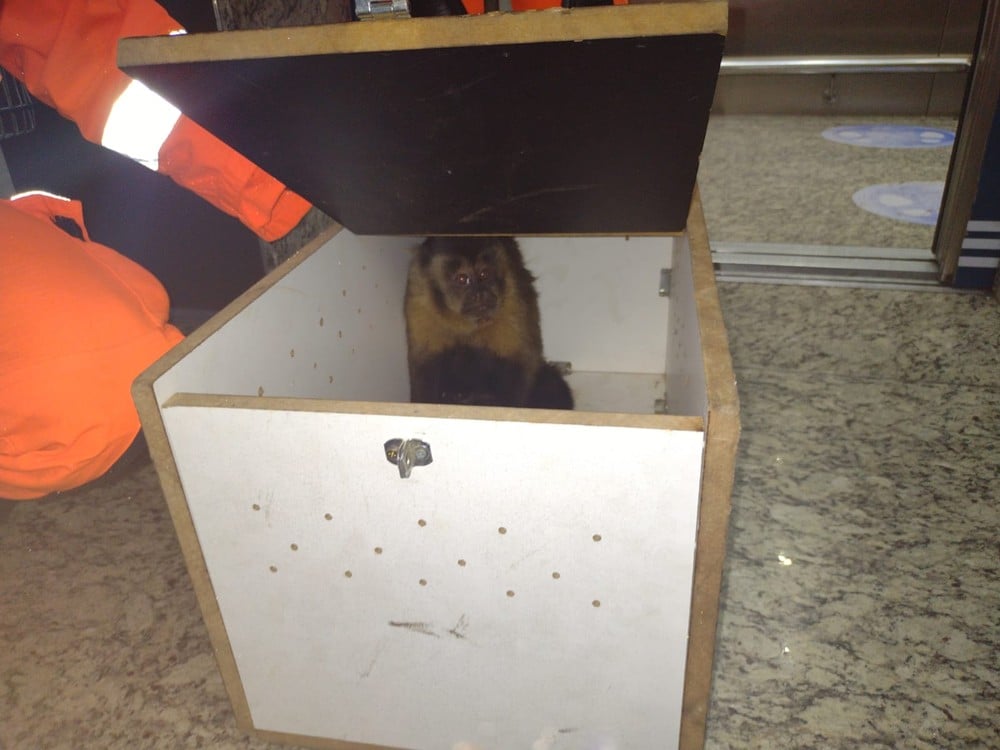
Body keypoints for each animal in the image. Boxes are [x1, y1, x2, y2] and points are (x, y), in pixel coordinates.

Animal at [404, 236, 573, 410]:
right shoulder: (420, 298)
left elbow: (521, 360)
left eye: (484, 274)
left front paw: (503, 404)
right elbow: (424, 362)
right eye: (462, 279)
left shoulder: (513, 295)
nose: (480, 293)